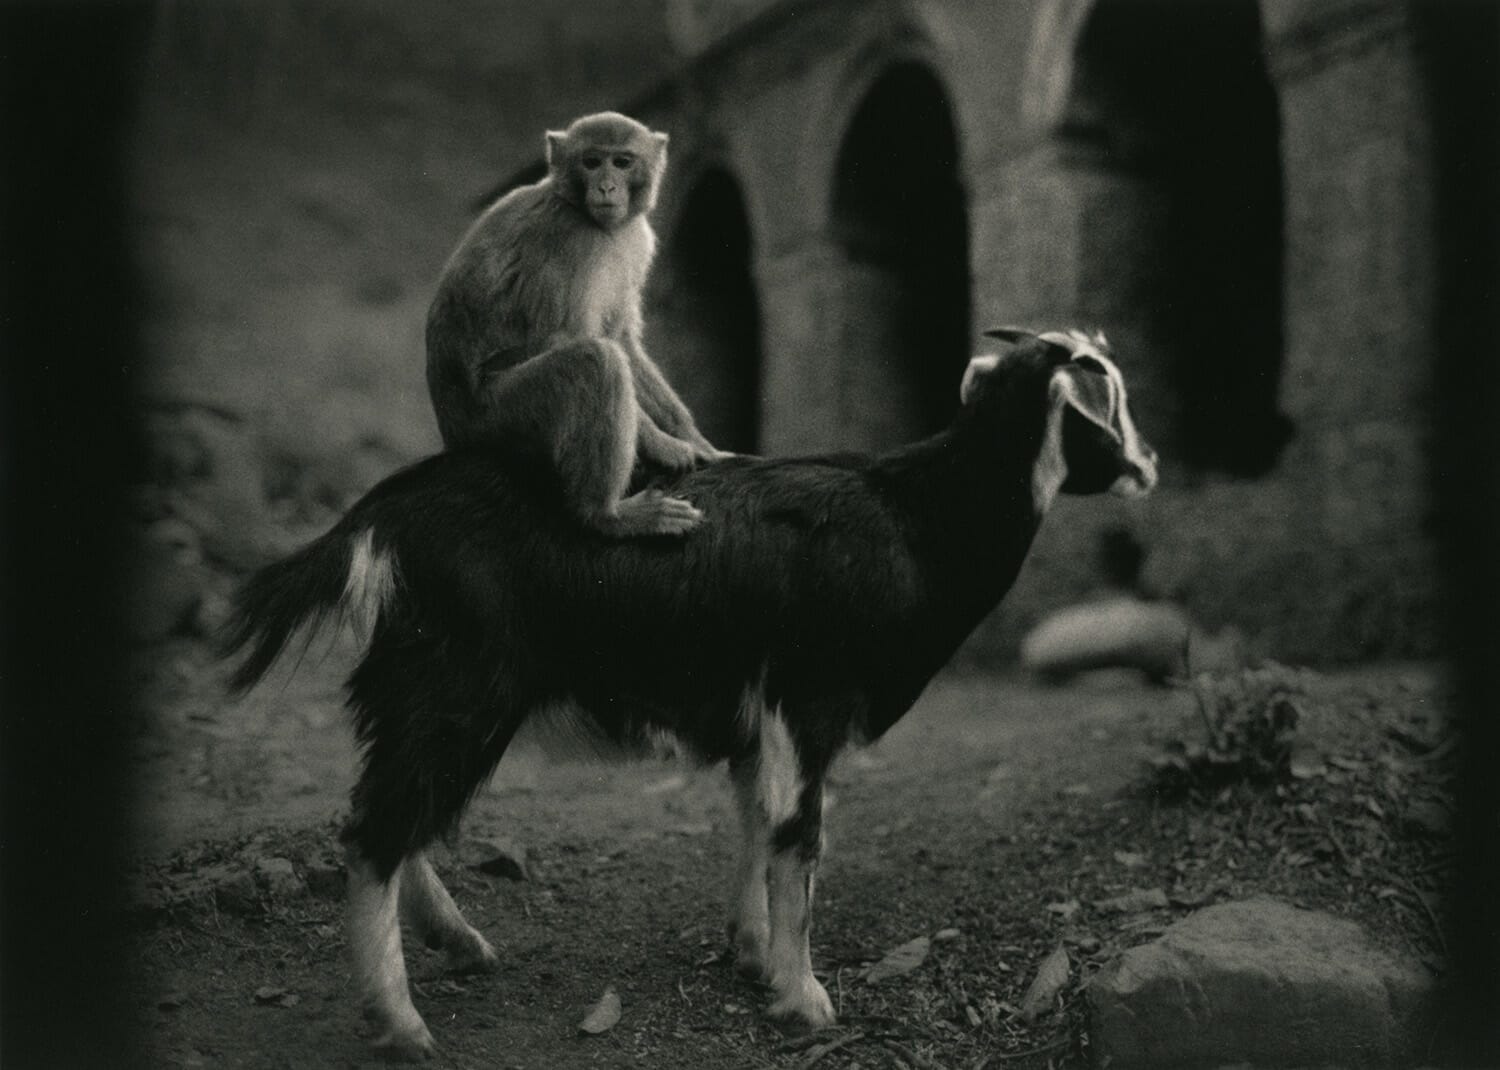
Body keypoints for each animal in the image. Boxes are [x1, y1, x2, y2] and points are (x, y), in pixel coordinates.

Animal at [219, 327, 1158, 1062]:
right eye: (1105, 396)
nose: (1148, 465)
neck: (915, 516)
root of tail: (385, 515)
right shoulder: (809, 697)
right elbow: (799, 835)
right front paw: (804, 1001)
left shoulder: (755, 715)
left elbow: (754, 817)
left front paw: (753, 954)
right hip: (458, 689)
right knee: (379, 827)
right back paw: (400, 1021)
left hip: (419, 690)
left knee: (389, 812)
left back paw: (458, 943)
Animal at [426, 110, 729, 534]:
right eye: (591, 162)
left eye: (622, 162)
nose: (606, 186)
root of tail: (453, 435)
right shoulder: (570, 240)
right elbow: (569, 338)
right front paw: (665, 446)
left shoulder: (634, 239)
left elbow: (622, 340)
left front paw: (695, 438)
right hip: (497, 420)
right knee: (593, 362)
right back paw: (606, 514)